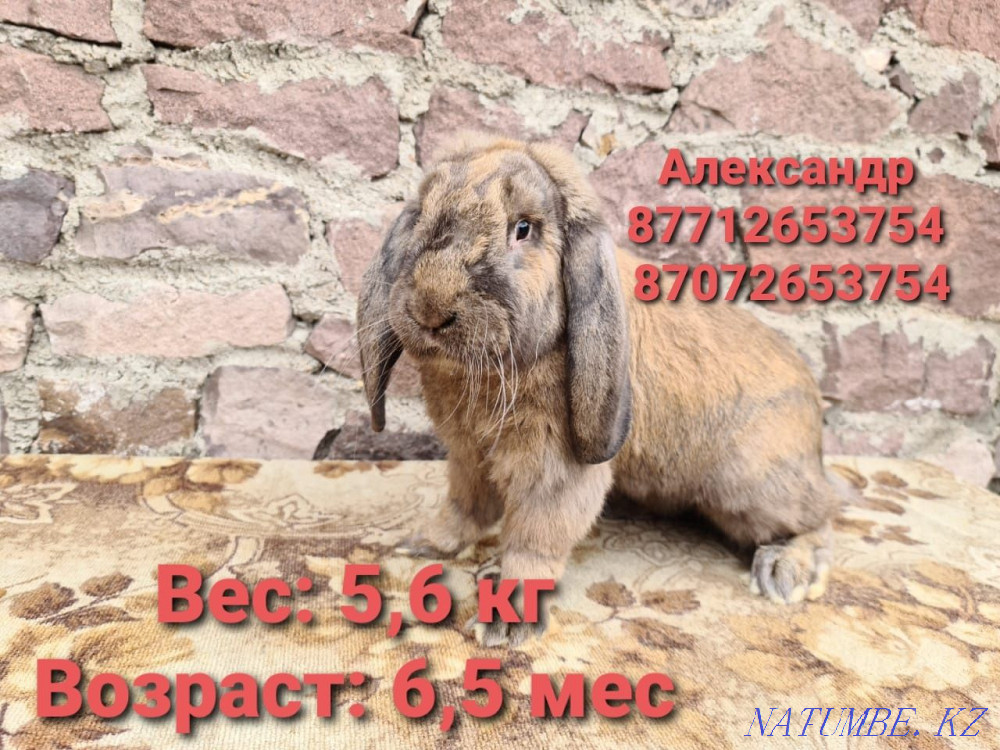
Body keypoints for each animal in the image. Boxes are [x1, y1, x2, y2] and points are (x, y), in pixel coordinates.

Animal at [357, 134, 838, 646]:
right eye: (422, 213)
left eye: (523, 229)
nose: (432, 307)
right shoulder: (468, 455)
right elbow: (464, 508)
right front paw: (424, 542)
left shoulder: (553, 466)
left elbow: (533, 540)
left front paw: (507, 621)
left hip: (753, 484)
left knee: (822, 517)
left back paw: (785, 572)